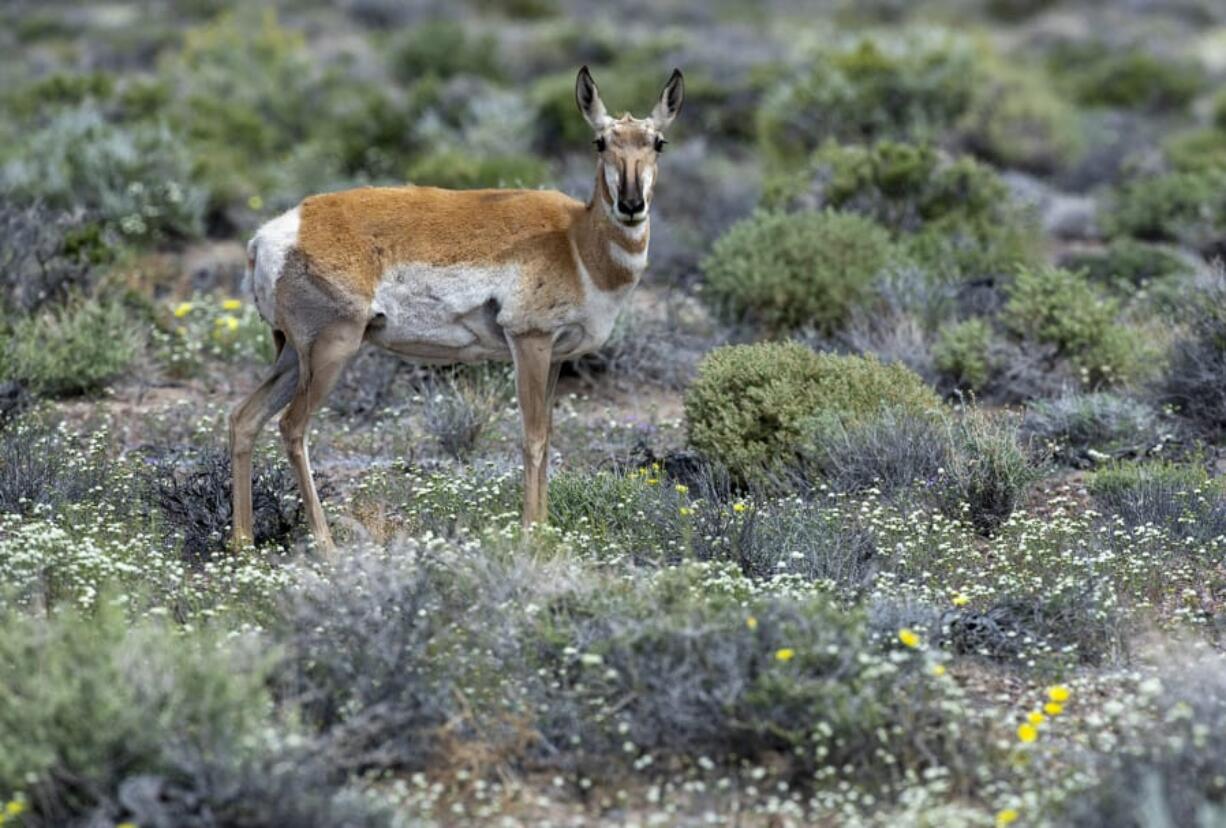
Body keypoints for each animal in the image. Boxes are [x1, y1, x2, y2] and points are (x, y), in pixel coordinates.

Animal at [230, 66, 686, 556]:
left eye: (658, 142)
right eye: (600, 141)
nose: (631, 205)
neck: (575, 239)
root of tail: (272, 234)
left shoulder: (556, 358)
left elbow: (548, 437)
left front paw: (544, 530)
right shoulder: (529, 343)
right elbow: (532, 438)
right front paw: (531, 536)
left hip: (294, 356)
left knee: (244, 418)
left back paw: (241, 544)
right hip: (333, 349)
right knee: (292, 427)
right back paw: (326, 545)